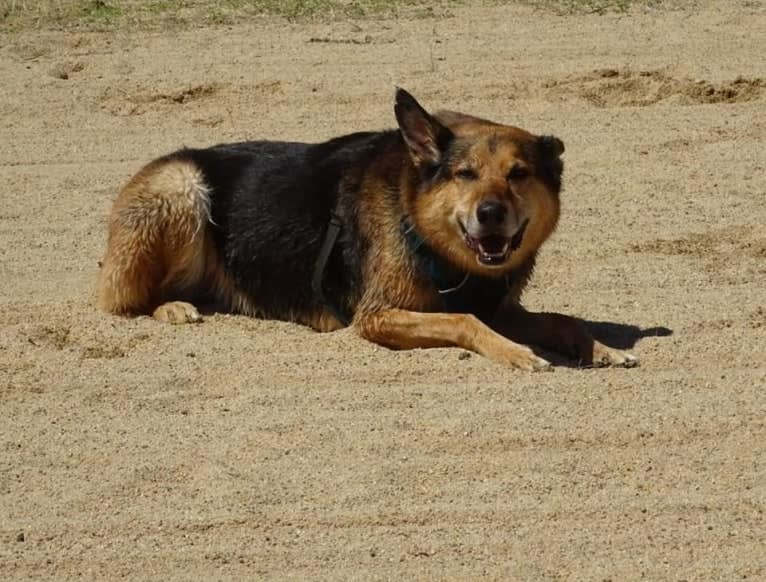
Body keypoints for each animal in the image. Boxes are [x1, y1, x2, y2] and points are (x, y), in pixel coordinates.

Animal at [99, 89, 640, 372]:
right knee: (124, 300)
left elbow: (563, 320)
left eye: (519, 174)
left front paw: (601, 348)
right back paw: (172, 307)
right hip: (184, 187)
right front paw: (515, 353)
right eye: (464, 174)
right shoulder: (377, 316)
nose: (490, 213)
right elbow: (464, 321)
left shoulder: (501, 308)